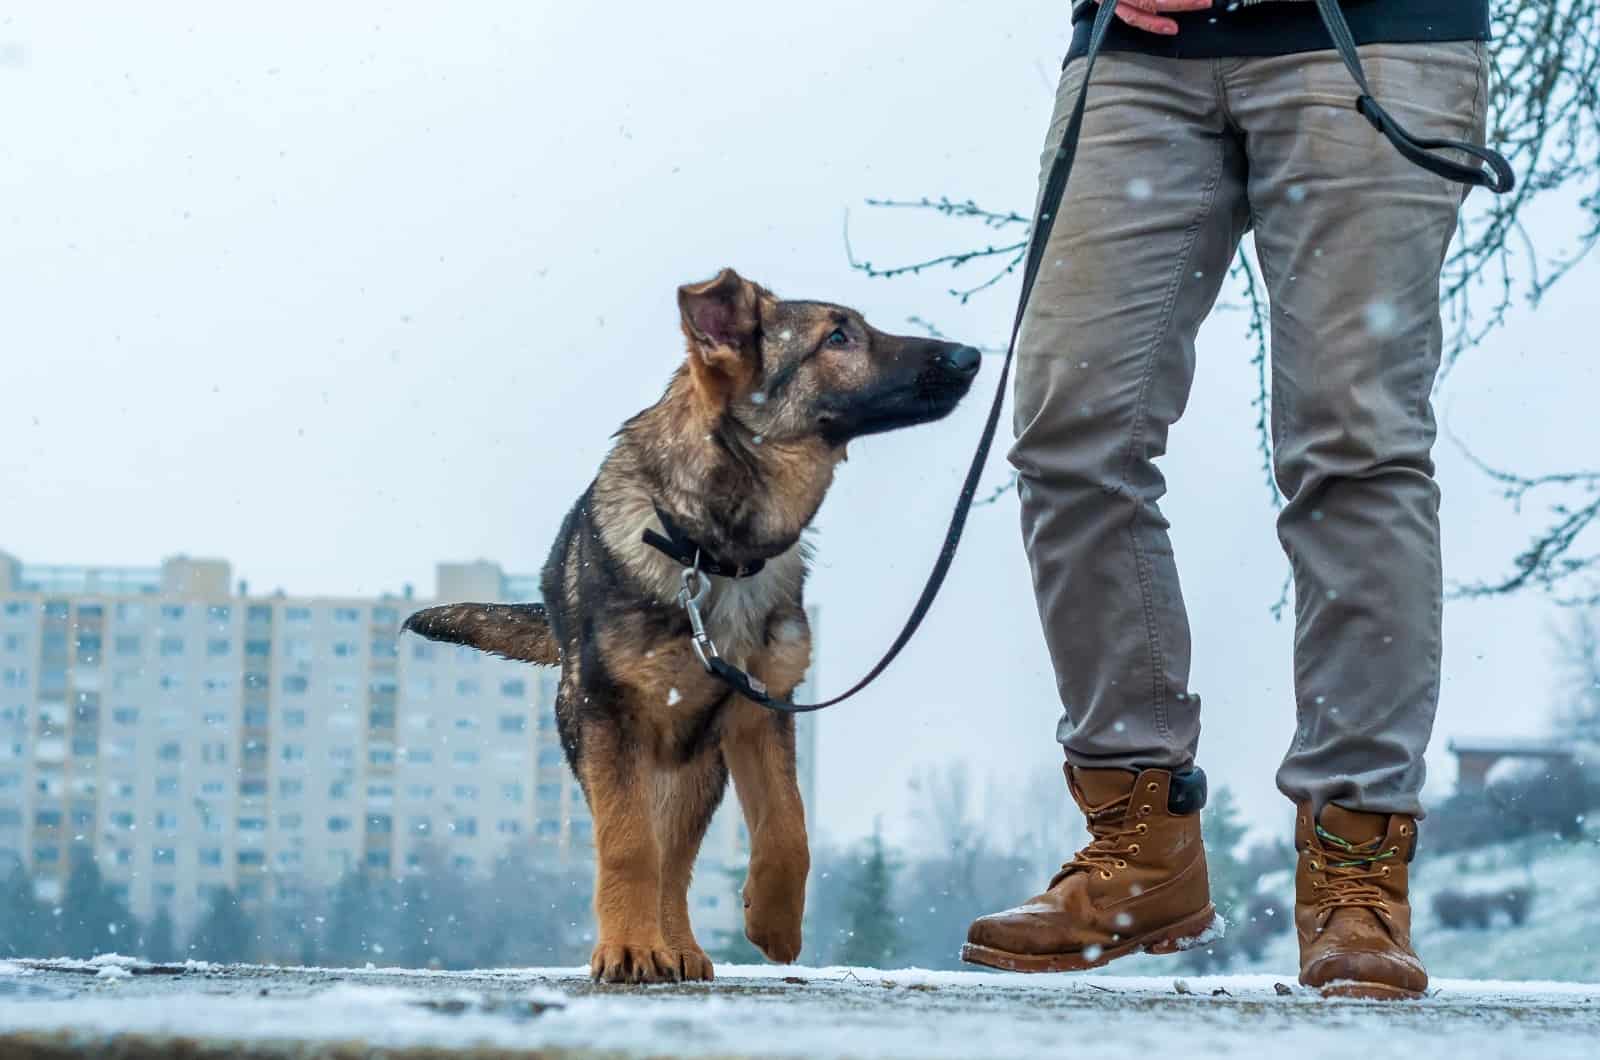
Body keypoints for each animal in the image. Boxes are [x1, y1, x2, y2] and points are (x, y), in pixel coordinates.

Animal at [400, 270, 979, 986]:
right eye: (837, 337)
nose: (971, 357)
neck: (711, 549)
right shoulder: (610, 717)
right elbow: (627, 844)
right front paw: (626, 947)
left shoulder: (761, 708)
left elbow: (787, 827)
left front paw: (773, 921)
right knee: (648, 845)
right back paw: (645, 941)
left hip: (699, 768)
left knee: (676, 860)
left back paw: (674, 945)